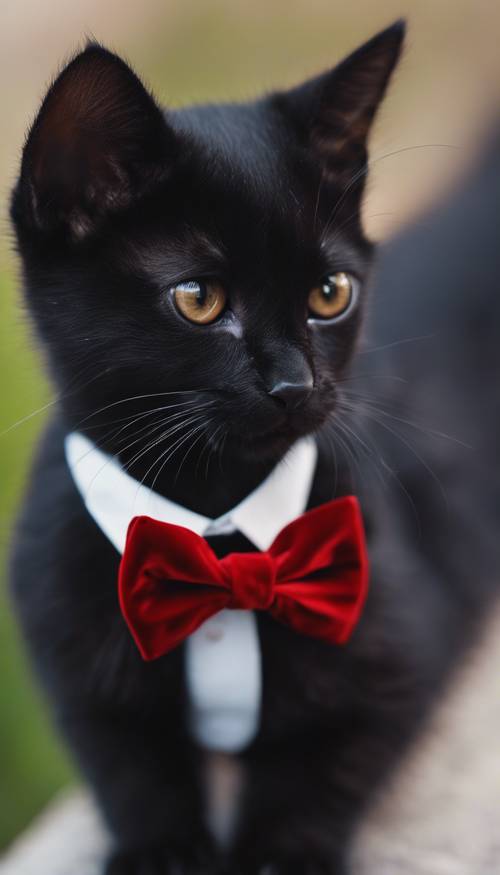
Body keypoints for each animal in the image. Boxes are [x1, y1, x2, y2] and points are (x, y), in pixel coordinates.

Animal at [5, 24, 434, 875]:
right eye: (199, 299)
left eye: (330, 293)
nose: (295, 384)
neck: (215, 518)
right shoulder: (63, 641)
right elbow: (124, 758)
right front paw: (163, 850)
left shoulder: (403, 647)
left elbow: (324, 762)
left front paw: (278, 855)